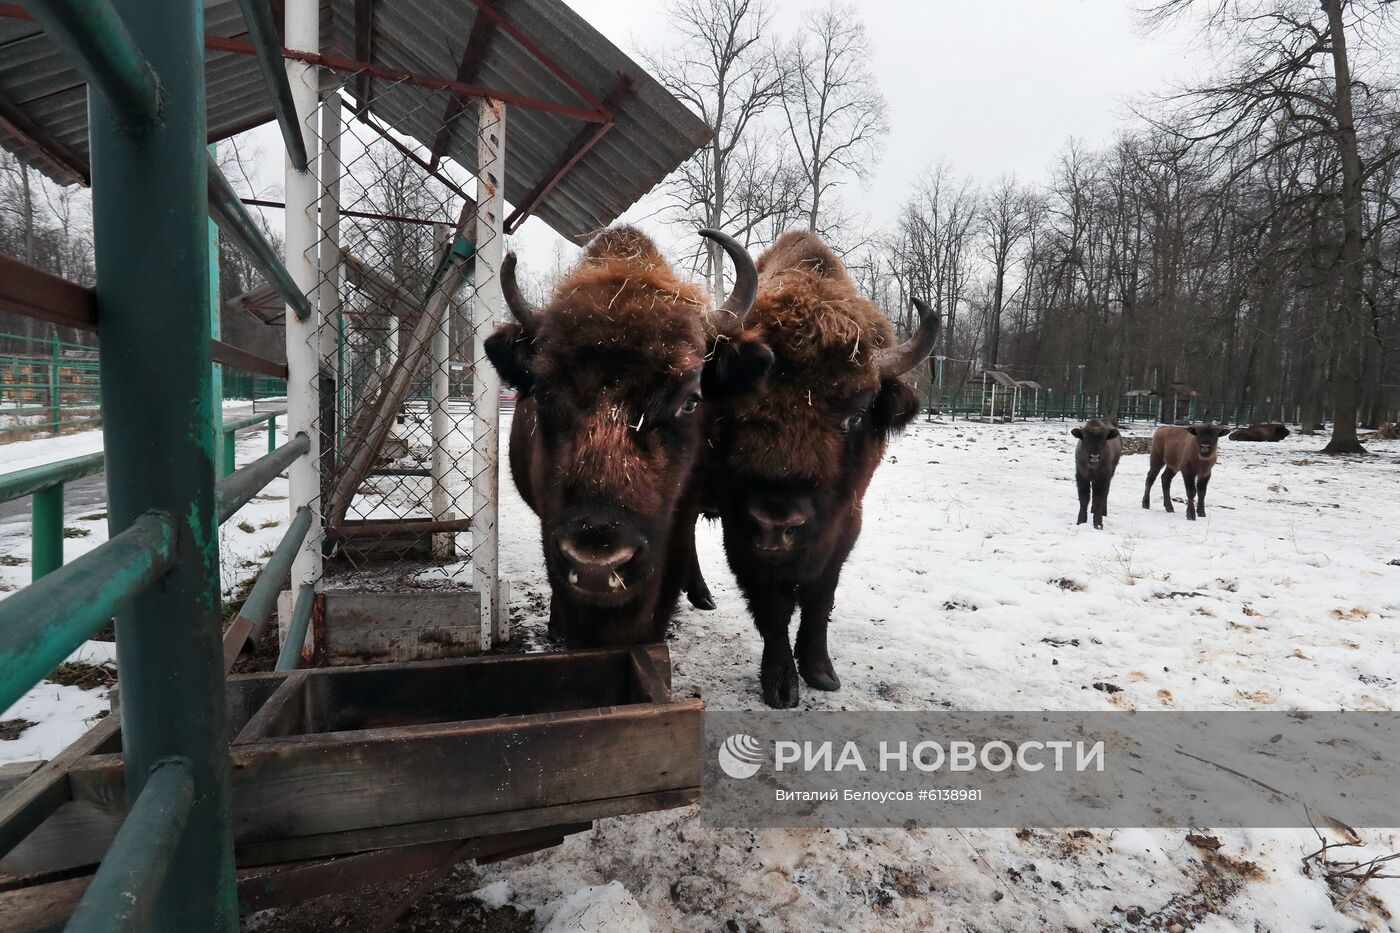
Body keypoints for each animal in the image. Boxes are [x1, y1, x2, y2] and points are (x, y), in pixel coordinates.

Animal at [700, 231, 940, 706]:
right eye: (734, 411)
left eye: (857, 414)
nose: (778, 523)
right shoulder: (743, 536)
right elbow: (773, 607)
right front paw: (782, 685)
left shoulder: (844, 525)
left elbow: (819, 597)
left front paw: (821, 672)